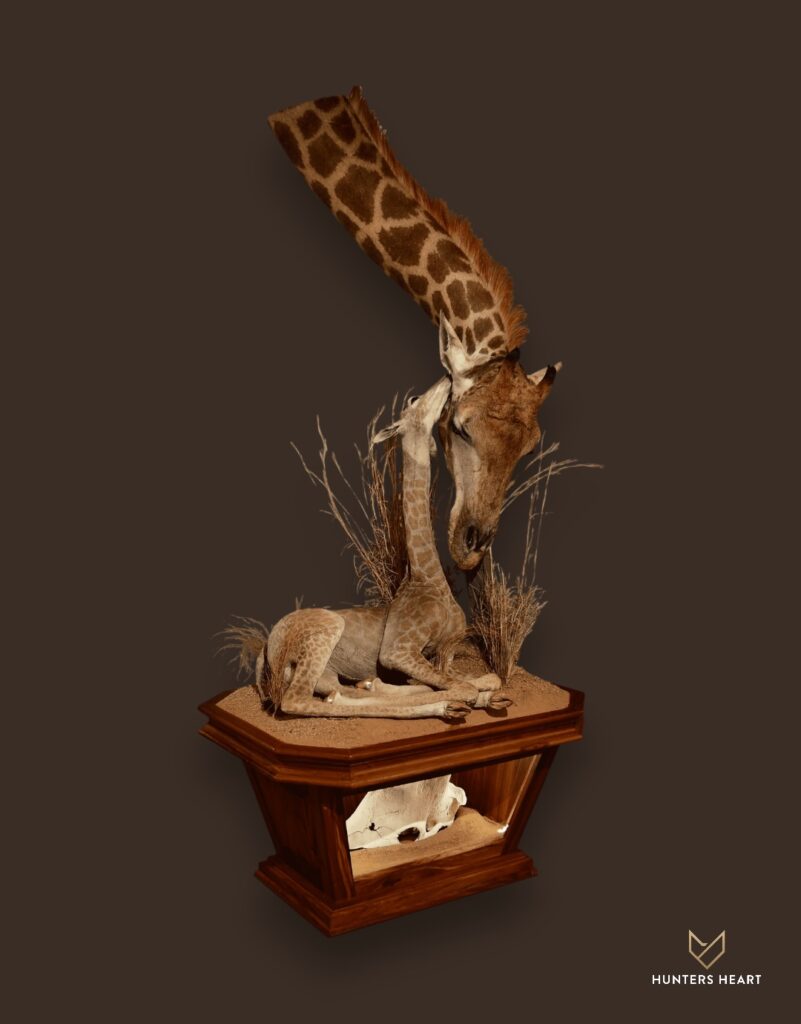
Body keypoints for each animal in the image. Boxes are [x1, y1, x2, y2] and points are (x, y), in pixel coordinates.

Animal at [235, 368, 507, 721]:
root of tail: (266, 649)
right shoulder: (397, 651)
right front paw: (463, 698)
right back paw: (442, 704)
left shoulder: (447, 648)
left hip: (326, 671)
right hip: (324, 633)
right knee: (299, 701)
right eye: (414, 400)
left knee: (339, 693)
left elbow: (489, 677)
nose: (447, 379)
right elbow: (462, 685)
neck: (428, 578)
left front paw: (488, 695)